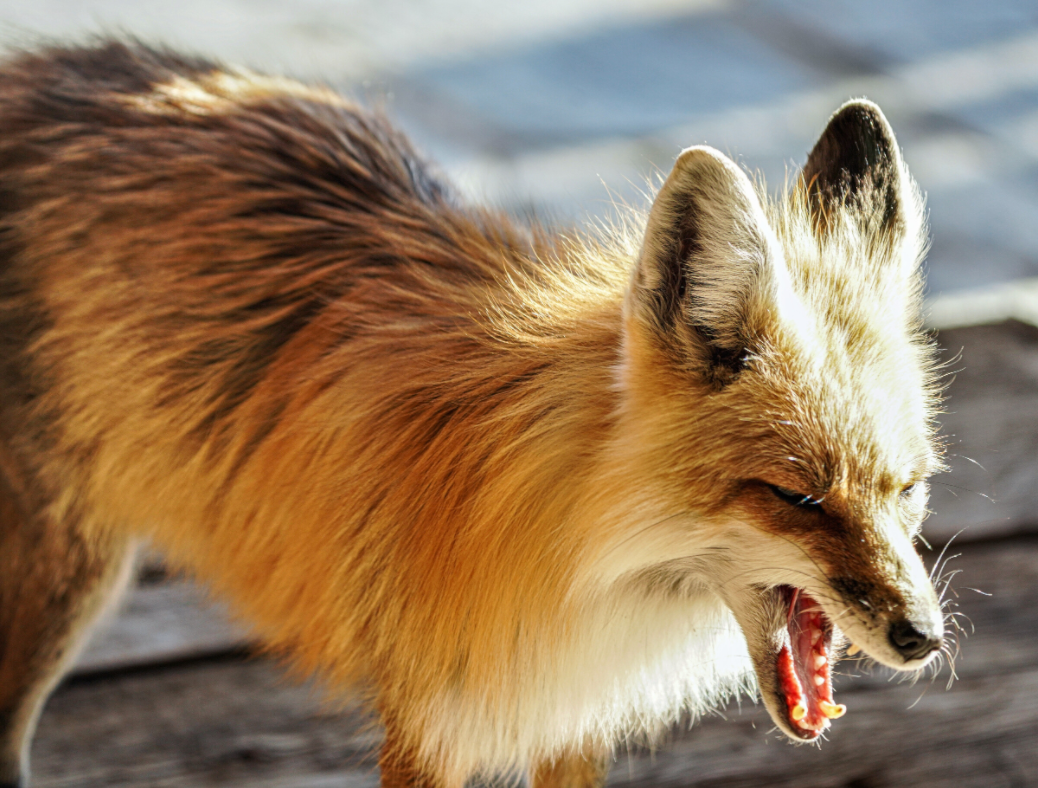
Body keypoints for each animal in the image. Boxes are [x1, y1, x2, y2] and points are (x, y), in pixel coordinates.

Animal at [0, 39, 948, 788]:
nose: (925, 639)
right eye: (797, 498)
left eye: (905, 492)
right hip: (65, 582)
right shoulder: (430, 724)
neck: (578, 553)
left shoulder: (568, 718)